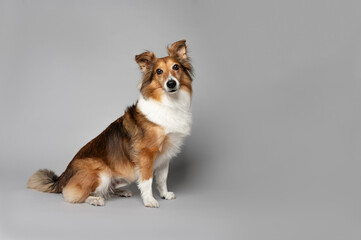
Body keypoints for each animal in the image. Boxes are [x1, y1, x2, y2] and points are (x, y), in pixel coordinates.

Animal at [26, 40, 193, 207]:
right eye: (159, 71)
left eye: (176, 67)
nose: (171, 84)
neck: (169, 103)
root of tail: (63, 177)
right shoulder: (146, 154)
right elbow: (147, 180)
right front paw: (149, 200)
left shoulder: (165, 155)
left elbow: (162, 179)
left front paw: (164, 194)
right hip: (102, 173)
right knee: (74, 194)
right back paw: (95, 199)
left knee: (106, 189)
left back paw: (121, 192)